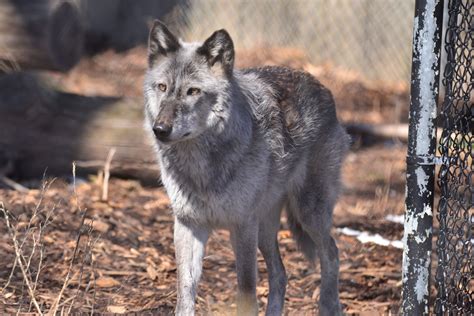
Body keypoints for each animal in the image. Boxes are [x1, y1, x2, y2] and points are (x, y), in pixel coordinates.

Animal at [143, 20, 350, 316]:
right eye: (162, 87)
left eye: (193, 91)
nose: (160, 129)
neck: (202, 168)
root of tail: (324, 88)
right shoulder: (188, 225)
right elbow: (185, 291)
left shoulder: (242, 226)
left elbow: (246, 292)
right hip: (265, 229)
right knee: (280, 273)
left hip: (307, 214)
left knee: (331, 254)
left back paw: (328, 306)